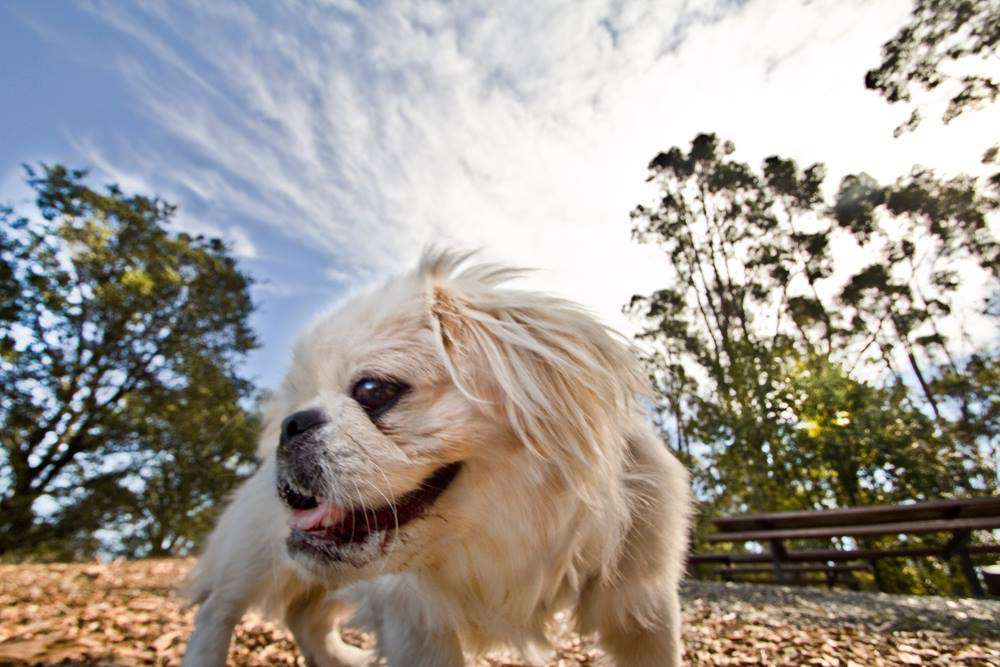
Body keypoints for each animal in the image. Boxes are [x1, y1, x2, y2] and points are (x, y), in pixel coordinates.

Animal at [182, 250, 688, 667]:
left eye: (372, 390)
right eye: (298, 404)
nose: (291, 424)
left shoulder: (644, 607)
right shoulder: (414, 621)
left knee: (308, 620)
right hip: (255, 556)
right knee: (218, 611)